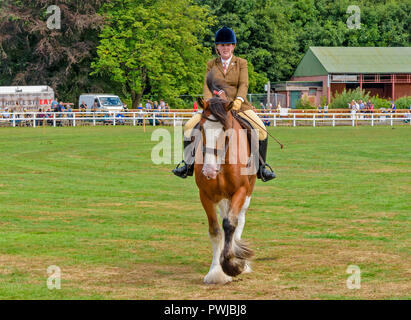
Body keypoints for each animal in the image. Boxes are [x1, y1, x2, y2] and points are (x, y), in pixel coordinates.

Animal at [194, 74, 258, 284]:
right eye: (202, 128)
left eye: (225, 130)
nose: (209, 170)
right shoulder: (205, 195)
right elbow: (215, 231)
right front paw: (216, 271)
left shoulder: (240, 191)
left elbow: (231, 224)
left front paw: (232, 265)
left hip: (247, 193)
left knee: (239, 220)